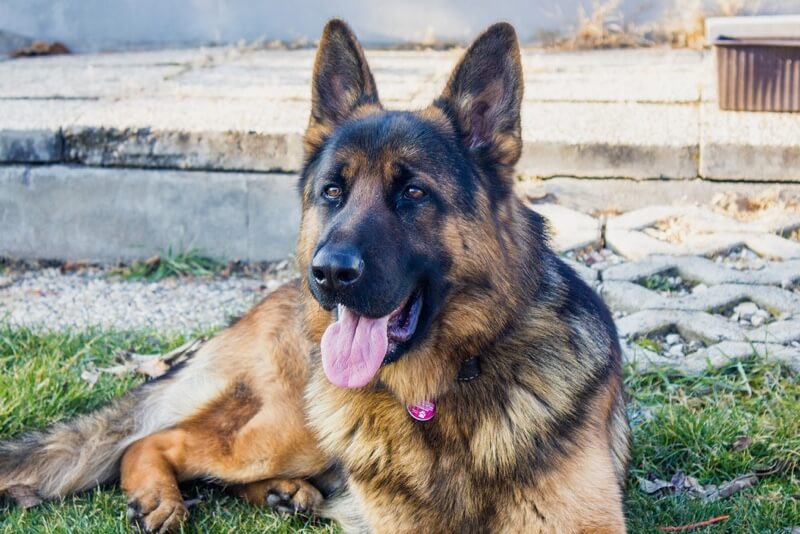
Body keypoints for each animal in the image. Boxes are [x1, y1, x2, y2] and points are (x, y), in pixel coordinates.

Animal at [0, 18, 628, 532]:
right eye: (332, 191)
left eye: (413, 193)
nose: (327, 273)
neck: (441, 390)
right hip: (290, 427)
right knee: (154, 441)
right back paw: (163, 496)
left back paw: (283, 494)